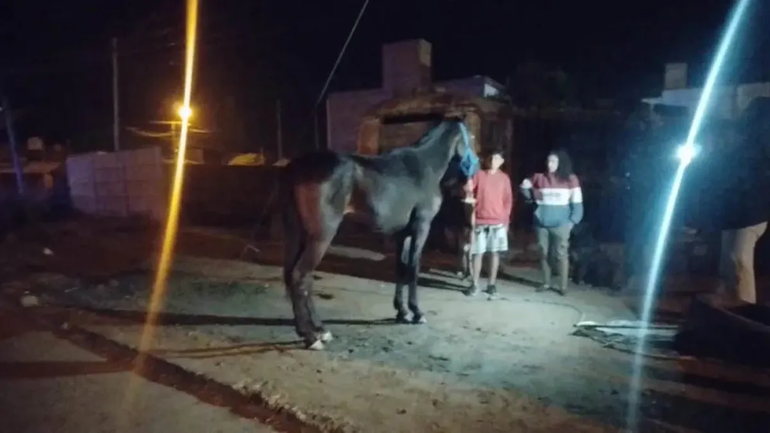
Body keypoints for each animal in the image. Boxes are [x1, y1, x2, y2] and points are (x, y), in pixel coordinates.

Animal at [280, 118, 476, 348]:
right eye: (471, 138)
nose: (473, 170)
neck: (425, 166)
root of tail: (296, 167)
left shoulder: (403, 234)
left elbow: (401, 269)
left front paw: (402, 312)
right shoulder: (421, 226)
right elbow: (414, 268)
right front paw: (417, 312)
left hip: (300, 235)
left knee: (300, 278)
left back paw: (318, 330)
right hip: (320, 236)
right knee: (300, 276)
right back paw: (311, 336)